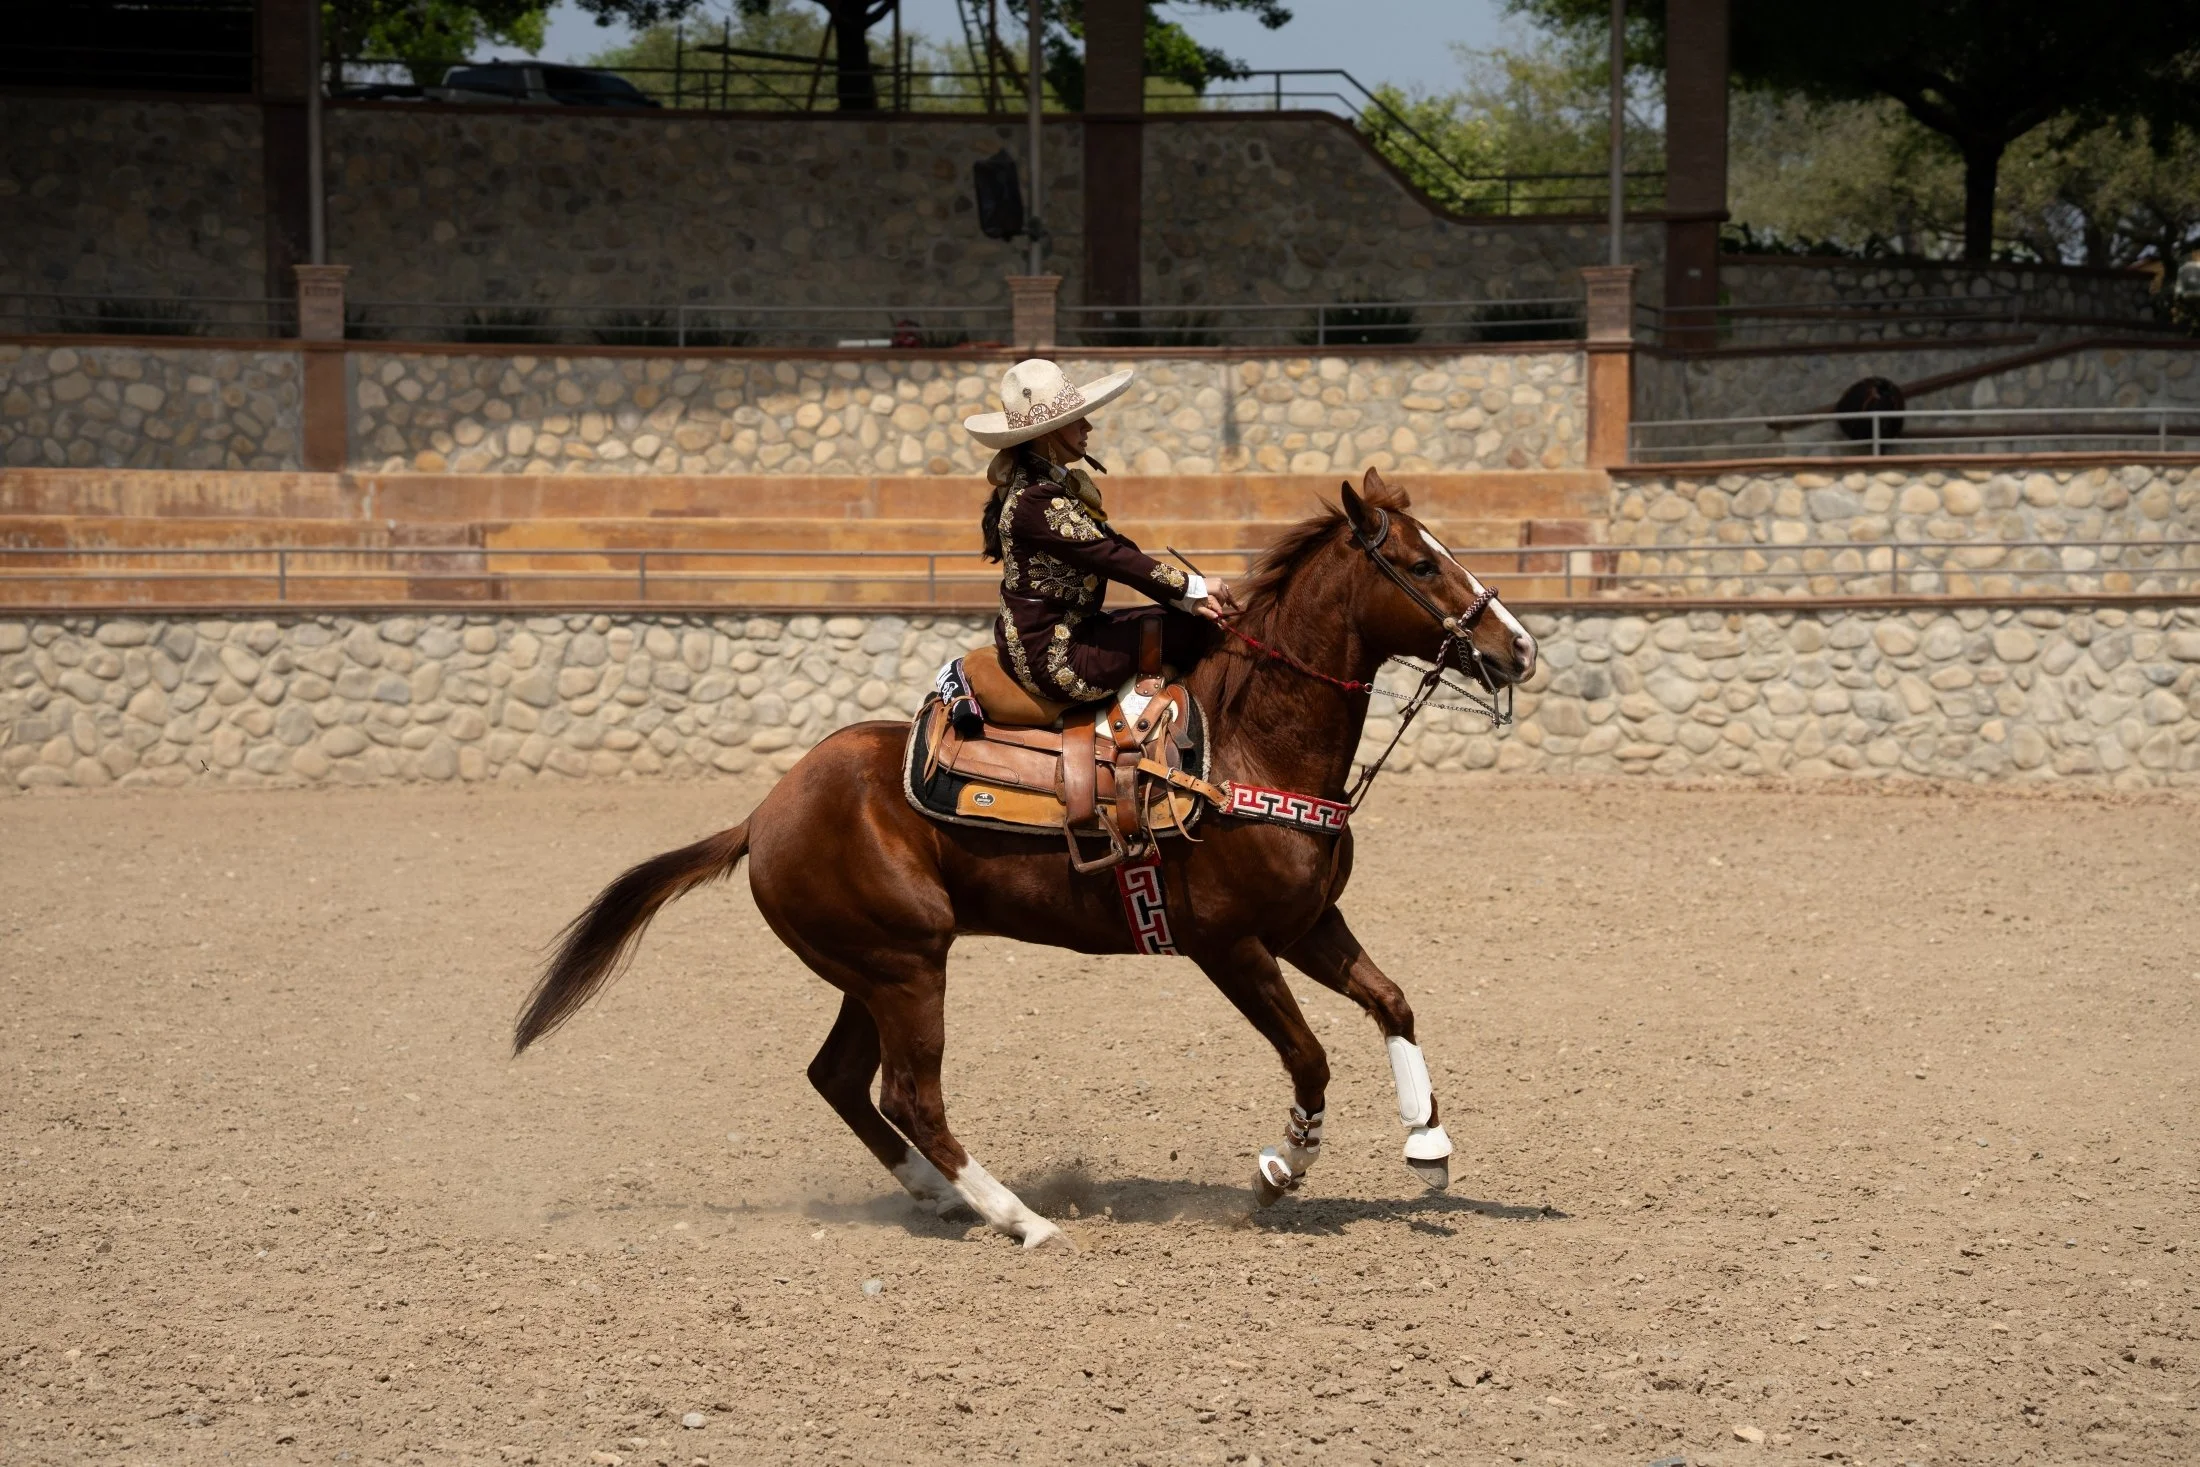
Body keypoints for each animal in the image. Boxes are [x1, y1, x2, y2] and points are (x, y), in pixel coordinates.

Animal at [512, 468, 1538, 1249]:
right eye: (1420, 563)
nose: (1518, 646)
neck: (1245, 744)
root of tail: (762, 814)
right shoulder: (1230, 945)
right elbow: (1309, 1055)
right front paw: (1279, 1171)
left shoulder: (1308, 921)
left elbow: (1392, 1000)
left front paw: (1428, 1148)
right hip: (909, 967)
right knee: (912, 1094)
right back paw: (1021, 1220)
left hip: (873, 970)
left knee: (841, 1079)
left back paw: (937, 1196)